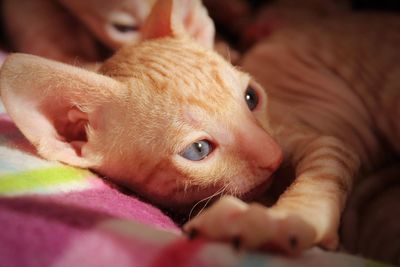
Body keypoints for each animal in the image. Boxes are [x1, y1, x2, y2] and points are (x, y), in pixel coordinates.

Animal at [0, 0, 398, 258]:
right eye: (198, 150)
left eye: (251, 98)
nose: (274, 157)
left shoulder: (316, 139)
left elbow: (324, 168)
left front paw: (277, 221)